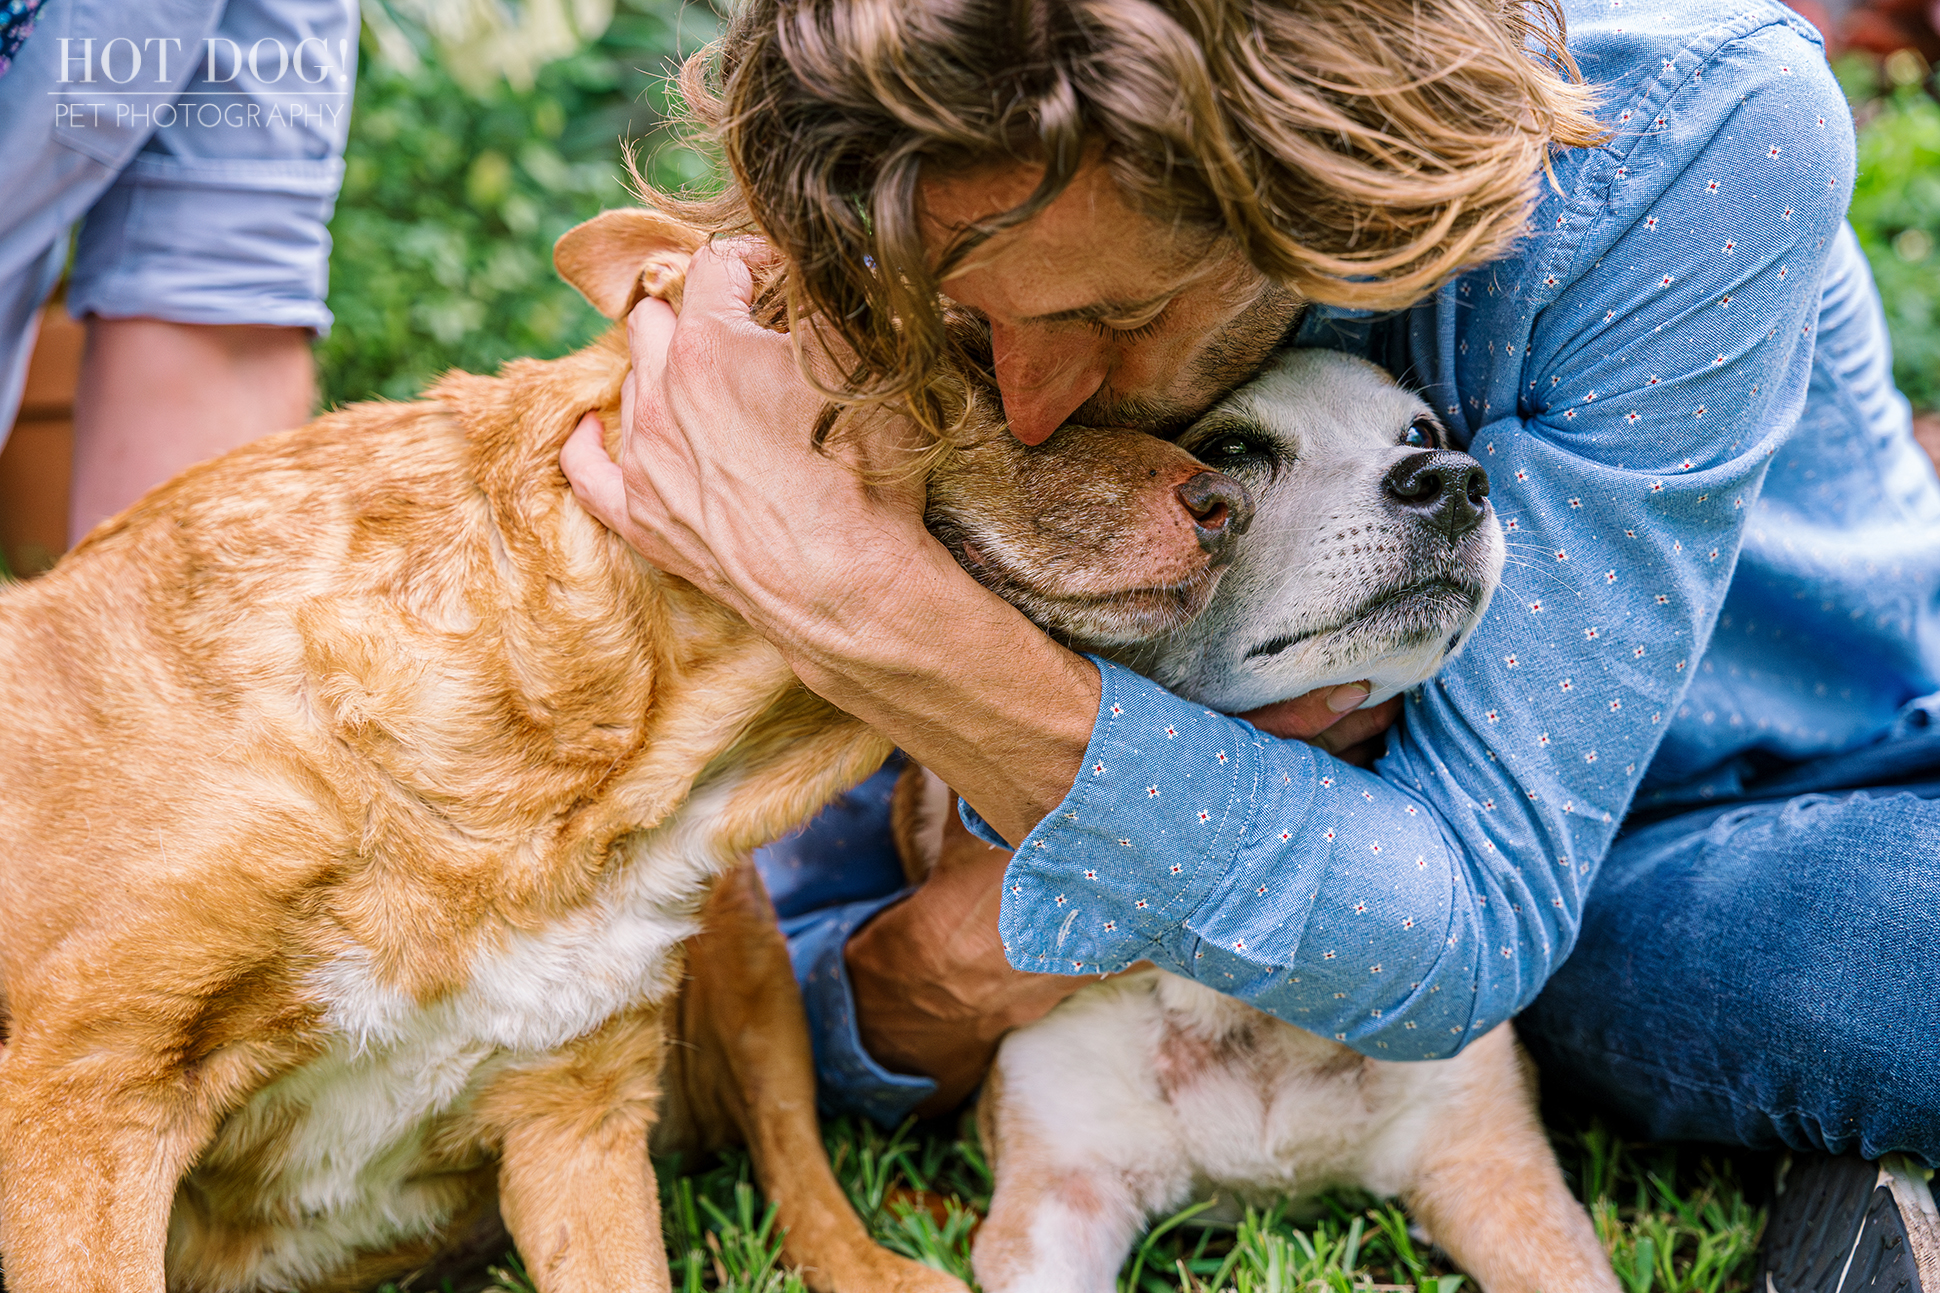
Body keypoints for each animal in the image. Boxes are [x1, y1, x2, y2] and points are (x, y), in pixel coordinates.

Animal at [0, 211, 1241, 1289]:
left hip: (744, 948)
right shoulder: (91, 1100)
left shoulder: (578, 1118)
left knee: (796, 1158)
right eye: (975, 349)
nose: (1226, 499)